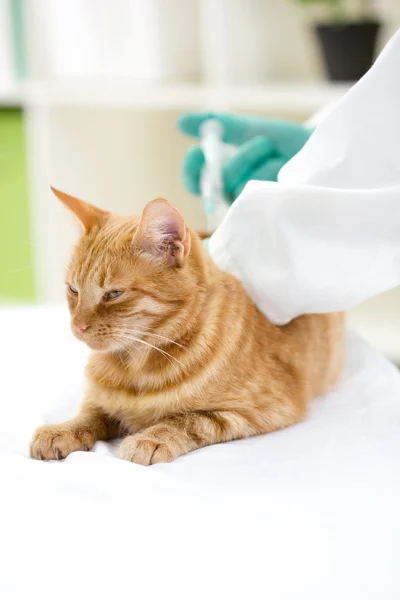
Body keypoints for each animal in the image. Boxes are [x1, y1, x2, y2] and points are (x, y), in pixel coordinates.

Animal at [30, 188, 344, 464]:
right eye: (73, 290)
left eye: (113, 294)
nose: (77, 326)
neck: (136, 366)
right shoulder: (101, 401)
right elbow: (90, 413)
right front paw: (63, 429)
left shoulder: (265, 408)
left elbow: (189, 420)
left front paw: (151, 438)